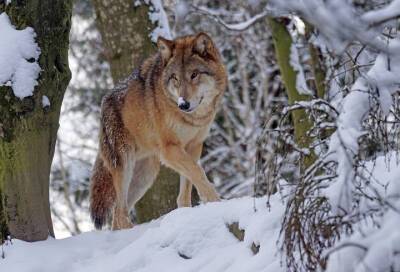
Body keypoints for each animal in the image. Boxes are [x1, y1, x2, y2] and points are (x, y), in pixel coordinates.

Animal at [91, 33, 228, 231]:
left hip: (145, 176)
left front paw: (187, 214)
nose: (183, 104)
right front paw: (216, 202)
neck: (193, 118)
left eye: (194, 75)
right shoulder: (170, 149)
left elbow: (187, 185)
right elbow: (198, 172)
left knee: (117, 216)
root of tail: (104, 103)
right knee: (120, 214)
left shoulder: (194, 146)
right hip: (125, 165)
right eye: (175, 78)